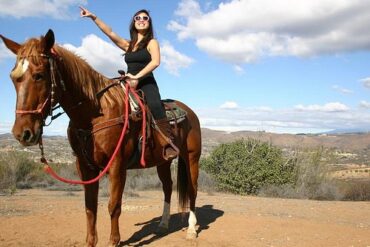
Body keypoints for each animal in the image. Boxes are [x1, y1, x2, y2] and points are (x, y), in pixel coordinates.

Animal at [0, 29, 202, 246]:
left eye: (39, 76)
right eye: (13, 77)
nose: (22, 133)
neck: (95, 113)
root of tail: (190, 113)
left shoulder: (117, 165)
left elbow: (114, 205)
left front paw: (114, 241)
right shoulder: (86, 167)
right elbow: (90, 207)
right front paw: (91, 241)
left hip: (191, 158)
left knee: (192, 190)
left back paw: (191, 229)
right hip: (163, 161)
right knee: (167, 187)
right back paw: (163, 224)